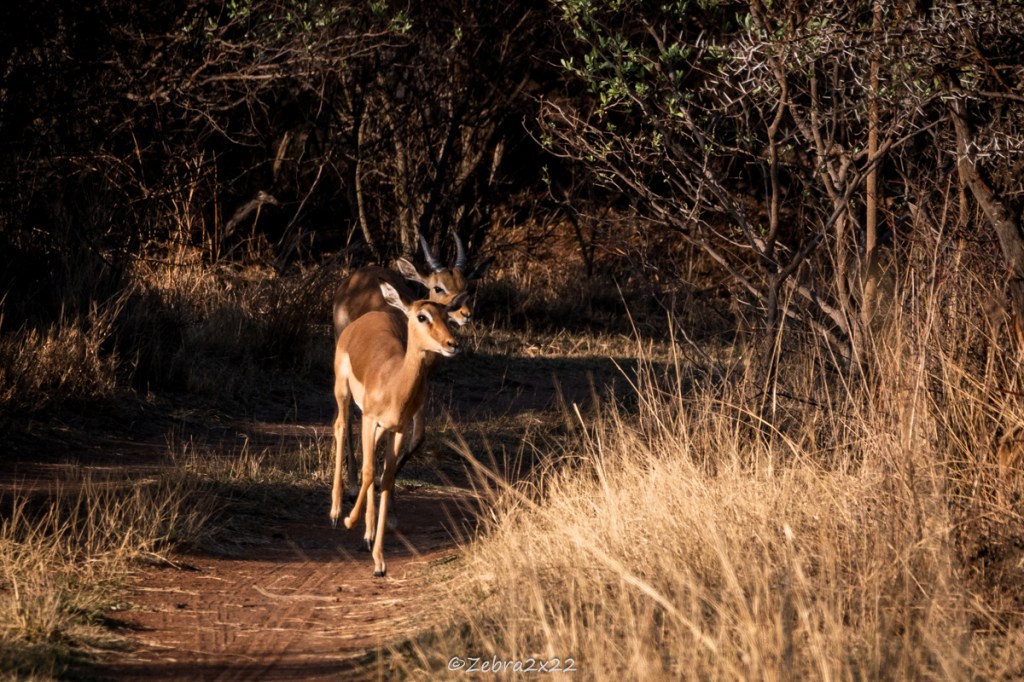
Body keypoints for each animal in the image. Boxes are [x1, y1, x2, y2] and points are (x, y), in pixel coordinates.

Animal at [330, 280, 466, 577]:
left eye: (446, 315)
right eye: (422, 316)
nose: (452, 344)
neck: (394, 382)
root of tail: (365, 319)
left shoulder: (399, 428)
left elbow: (387, 478)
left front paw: (379, 561)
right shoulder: (370, 419)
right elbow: (370, 472)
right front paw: (349, 521)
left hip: (383, 428)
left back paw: (368, 533)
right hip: (343, 393)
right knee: (341, 427)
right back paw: (335, 512)